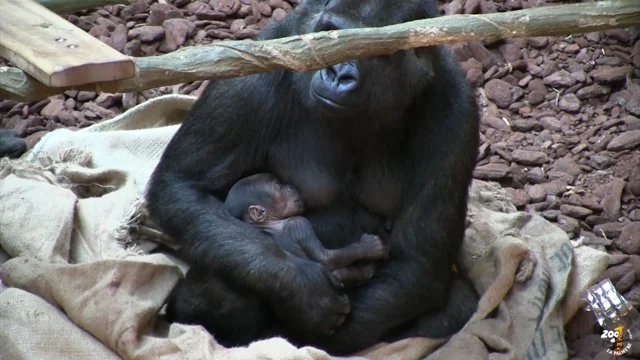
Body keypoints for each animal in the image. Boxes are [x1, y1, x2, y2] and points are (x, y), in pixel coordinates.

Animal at [225, 173, 388, 288]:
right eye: (279, 187)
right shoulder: (299, 224)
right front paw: (369, 246)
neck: (269, 223)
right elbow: (325, 259)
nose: (290, 186)